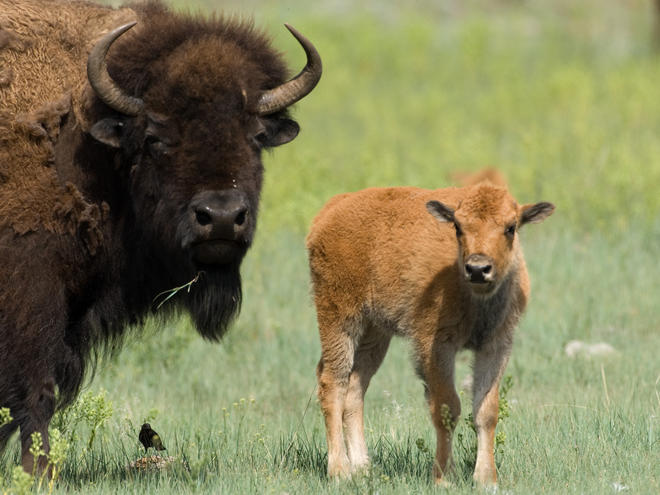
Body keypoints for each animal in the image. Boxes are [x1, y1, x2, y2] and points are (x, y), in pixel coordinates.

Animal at [0, 0, 322, 472]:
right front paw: (37, 472)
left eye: (257, 136)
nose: (221, 218)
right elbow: (36, 391)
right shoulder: (33, 295)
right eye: (153, 136)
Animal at [306, 181, 556, 484]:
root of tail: (331, 210)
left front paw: (486, 479)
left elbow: (486, 411)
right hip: (339, 317)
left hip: (374, 332)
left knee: (355, 387)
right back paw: (340, 471)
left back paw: (363, 468)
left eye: (511, 227)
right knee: (333, 381)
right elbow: (446, 408)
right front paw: (444, 477)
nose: (477, 269)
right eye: (457, 226)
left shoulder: (496, 345)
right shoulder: (436, 345)